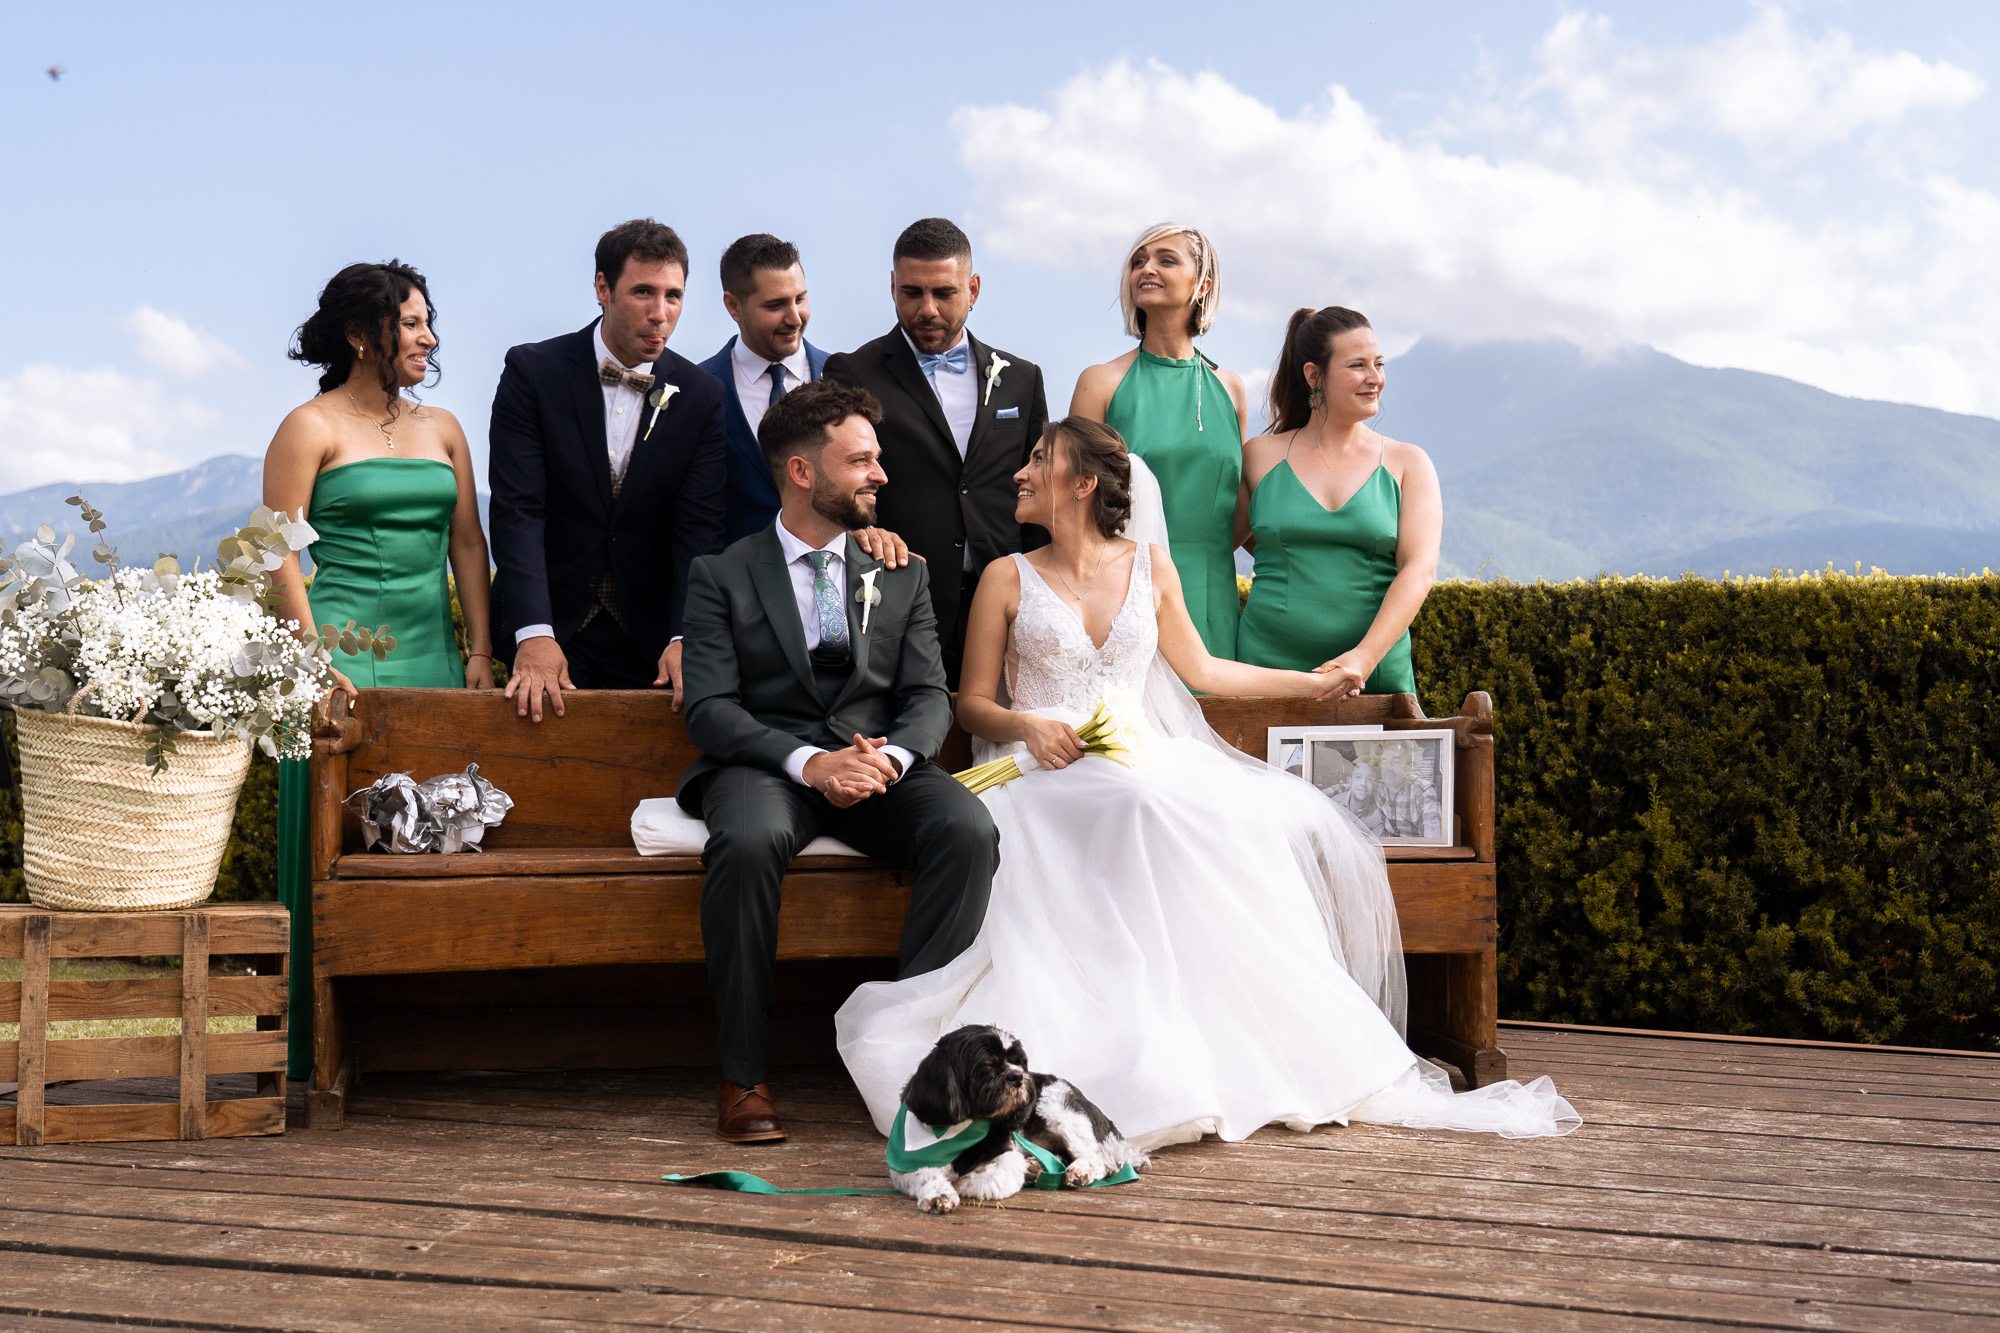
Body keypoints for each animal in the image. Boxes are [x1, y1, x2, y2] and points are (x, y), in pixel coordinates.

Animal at [891, 1024, 1147, 1214]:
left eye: (1018, 1062)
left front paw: (964, 1181)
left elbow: (992, 1179)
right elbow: (925, 1175)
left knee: (1098, 1159)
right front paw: (940, 1195)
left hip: (1060, 1107)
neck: (963, 1130)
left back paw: (1077, 1172)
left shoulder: (1007, 1156)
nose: (1017, 1076)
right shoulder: (904, 1165)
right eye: (987, 1064)